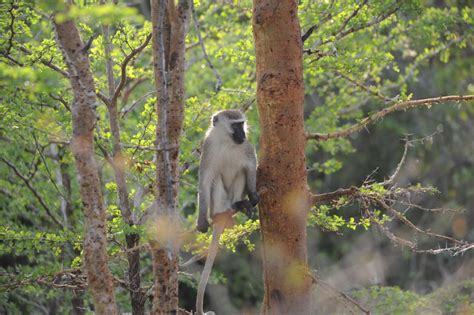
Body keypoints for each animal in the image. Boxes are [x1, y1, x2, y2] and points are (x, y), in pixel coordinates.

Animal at [195, 110, 260, 315]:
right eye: (235, 126)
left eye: (242, 124)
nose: (243, 134)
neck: (227, 142)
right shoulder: (209, 147)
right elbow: (205, 181)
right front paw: (201, 221)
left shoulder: (246, 148)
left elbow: (250, 166)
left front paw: (253, 195)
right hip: (220, 201)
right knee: (215, 180)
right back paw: (216, 216)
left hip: (233, 196)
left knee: (241, 174)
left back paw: (240, 204)